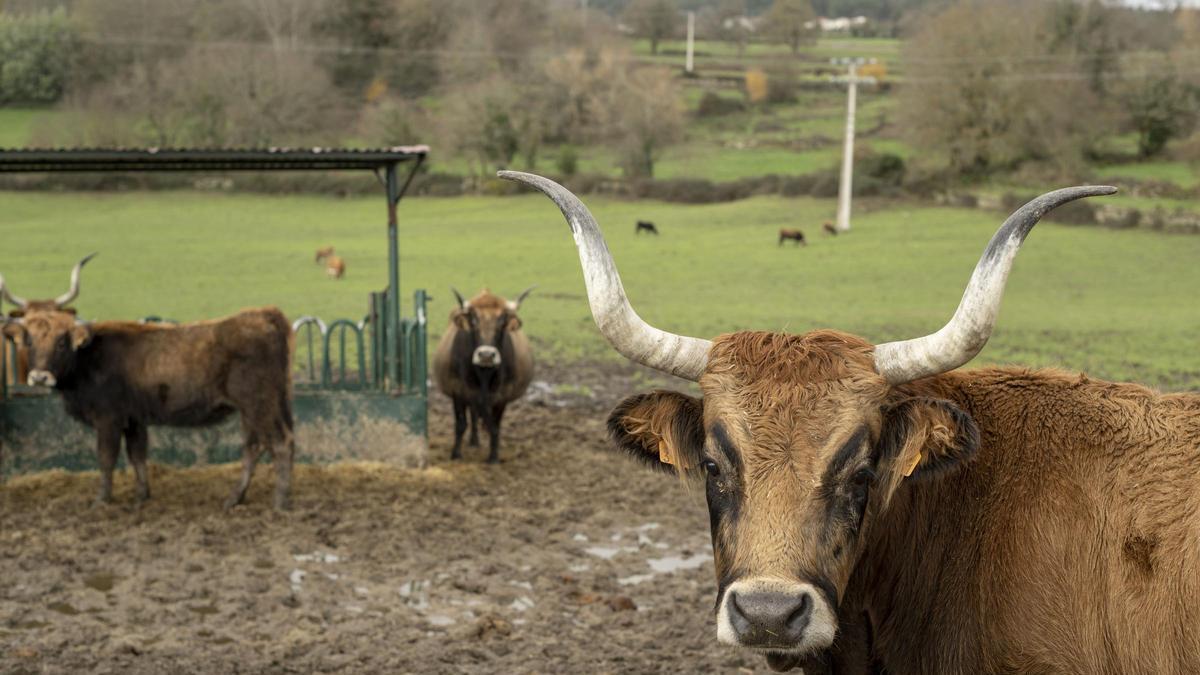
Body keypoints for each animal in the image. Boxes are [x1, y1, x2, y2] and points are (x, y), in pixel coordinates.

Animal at [0, 255, 297, 510]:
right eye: (29, 340)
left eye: (61, 342)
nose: (39, 376)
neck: (88, 356)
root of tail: (263, 314)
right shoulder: (134, 419)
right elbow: (137, 455)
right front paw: (142, 496)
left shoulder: (108, 419)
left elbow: (106, 458)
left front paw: (102, 499)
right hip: (262, 406)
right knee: (255, 446)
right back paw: (235, 498)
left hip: (258, 404)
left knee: (279, 443)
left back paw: (280, 502)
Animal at [432, 287, 534, 464]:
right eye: (473, 320)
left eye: (502, 320)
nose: (486, 355)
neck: (484, 374)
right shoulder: (458, 391)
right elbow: (461, 424)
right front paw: (456, 454)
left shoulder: (502, 396)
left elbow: (495, 426)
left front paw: (493, 457)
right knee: (473, 416)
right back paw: (473, 441)